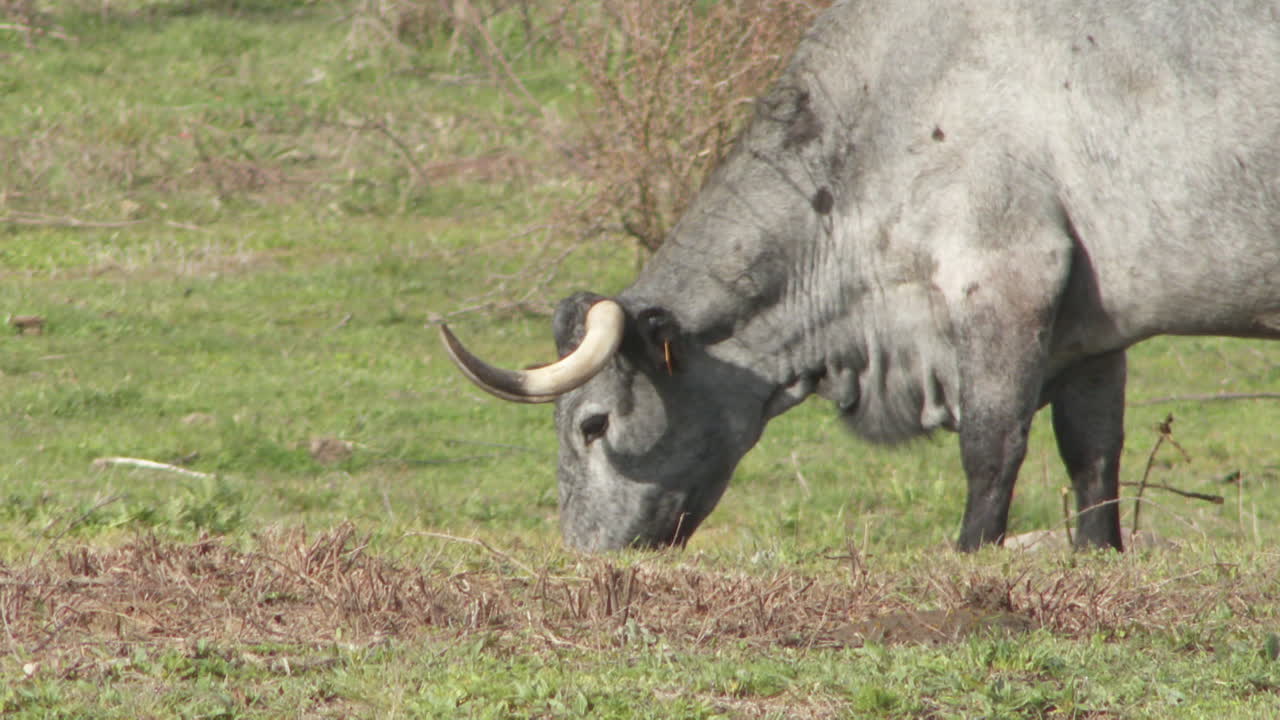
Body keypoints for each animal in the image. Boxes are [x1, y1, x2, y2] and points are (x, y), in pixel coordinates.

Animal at [440, 0, 1280, 552]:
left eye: (593, 424)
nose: (582, 551)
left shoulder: (1007, 280)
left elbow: (993, 445)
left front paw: (971, 558)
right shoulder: (1094, 332)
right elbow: (1093, 456)